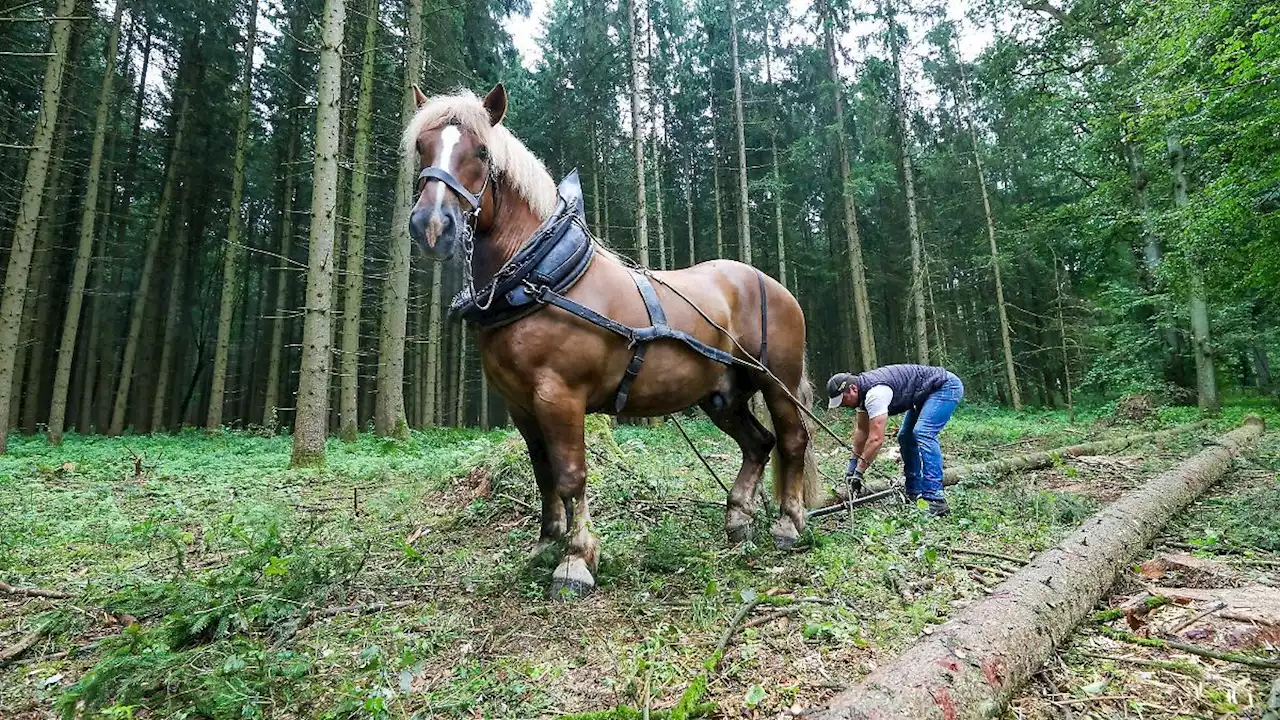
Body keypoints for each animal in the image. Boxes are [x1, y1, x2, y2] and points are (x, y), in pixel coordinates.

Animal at [399, 82, 819, 594]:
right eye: (422, 147)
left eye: (481, 151)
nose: (431, 226)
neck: (543, 276)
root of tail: (773, 284)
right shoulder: (521, 405)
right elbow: (542, 473)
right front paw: (546, 544)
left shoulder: (559, 396)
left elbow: (570, 475)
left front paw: (576, 561)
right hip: (721, 394)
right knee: (758, 443)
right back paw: (738, 521)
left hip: (777, 380)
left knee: (793, 439)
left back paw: (789, 524)